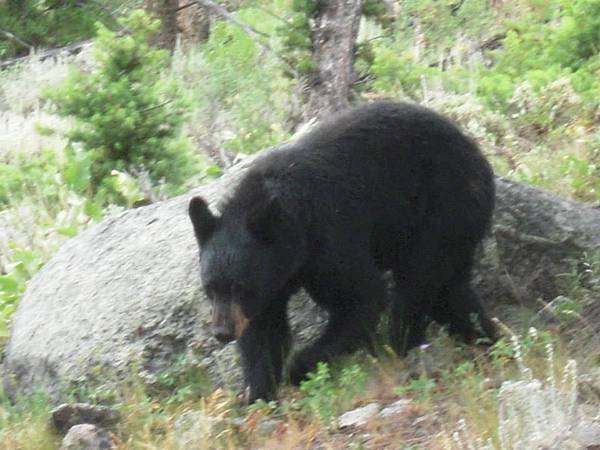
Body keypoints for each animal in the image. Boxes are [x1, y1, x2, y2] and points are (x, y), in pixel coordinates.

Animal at [189, 101, 496, 400]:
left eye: (241, 287)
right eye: (210, 288)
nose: (222, 332)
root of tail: (478, 155)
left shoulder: (330, 235)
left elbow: (360, 297)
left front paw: (300, 367)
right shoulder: (273, 280)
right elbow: (263, 330)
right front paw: (257, 395)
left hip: (443, 209)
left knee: (416, 284)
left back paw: (404, 348)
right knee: (449, 290)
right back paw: (486, 340)